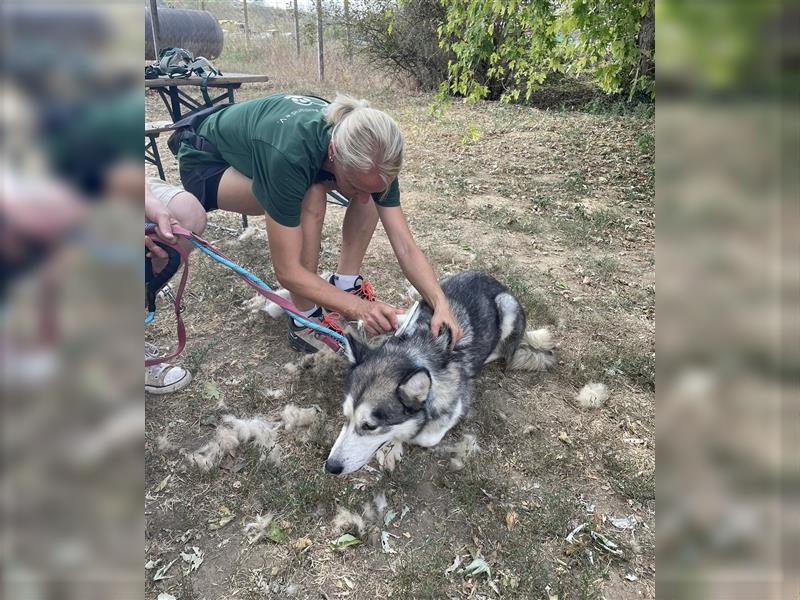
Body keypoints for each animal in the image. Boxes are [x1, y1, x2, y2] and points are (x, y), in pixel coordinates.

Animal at [324, 270, 556, 474]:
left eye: (370, 426)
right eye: (346, 417)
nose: (330, 467)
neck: (416, 350)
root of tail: (493, 279)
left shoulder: (458, 403)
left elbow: (424, 437)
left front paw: (397, 441)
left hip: (506, 306)